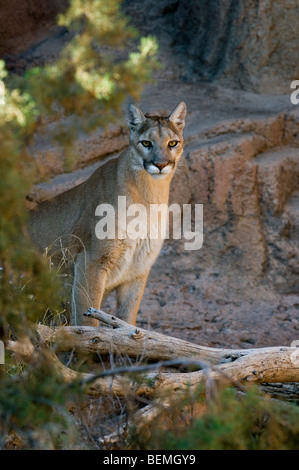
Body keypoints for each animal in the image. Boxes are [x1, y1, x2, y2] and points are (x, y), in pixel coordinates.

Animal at [28, 101, 188, 324]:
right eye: (146, 143)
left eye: (172, 143)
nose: (161, 164)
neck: (148, 195)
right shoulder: (92, 260)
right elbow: (87, 316)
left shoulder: (137, 269)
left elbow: (127, 317)